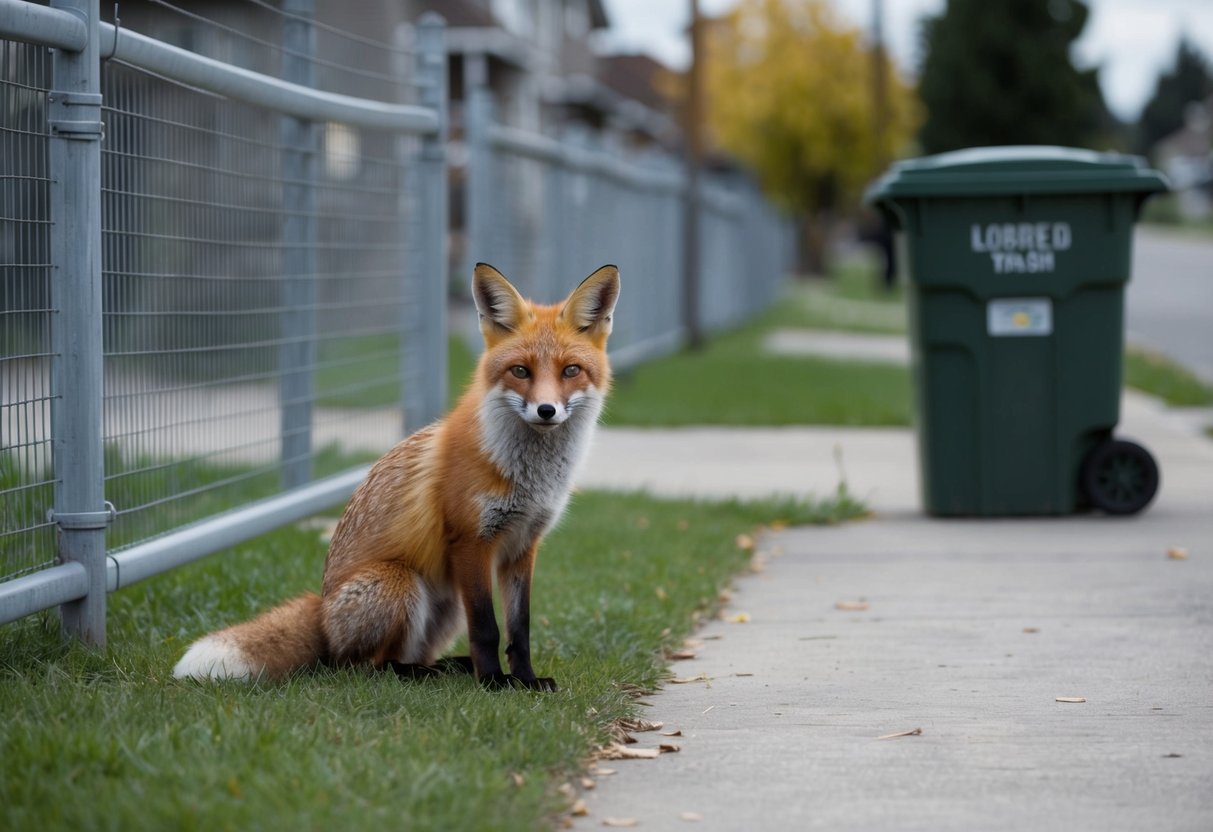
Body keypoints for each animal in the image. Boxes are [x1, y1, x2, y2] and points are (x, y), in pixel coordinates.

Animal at [173, 263, 620, 690]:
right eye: (521, 371)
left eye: (571, 371)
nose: (546, 410)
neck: (530, 477)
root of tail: (322, 611)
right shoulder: (471, 540)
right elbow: (487, 629)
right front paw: (495, 683)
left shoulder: (523, 546)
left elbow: (519, 628)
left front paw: (526, 680)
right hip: (401, 583)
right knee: (365, 667)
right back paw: (428, 674)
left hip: (448, 604)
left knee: (410, 655)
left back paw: (450, 667)